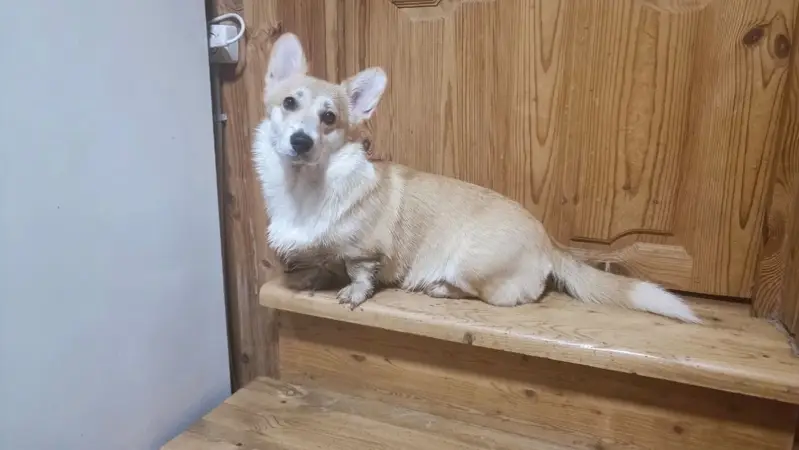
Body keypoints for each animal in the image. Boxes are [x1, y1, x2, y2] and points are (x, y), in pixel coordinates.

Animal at [252, 32, 700, 324]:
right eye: (289, 103)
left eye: (329, 117)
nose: (301, 141)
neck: (308, 185)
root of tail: (549, 241)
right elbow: (325, 259)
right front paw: (315, 277)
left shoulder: (365, 251)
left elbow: (360, 271)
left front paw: (352, 292)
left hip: (470, 264)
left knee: (499, 296)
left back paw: (440, 287)